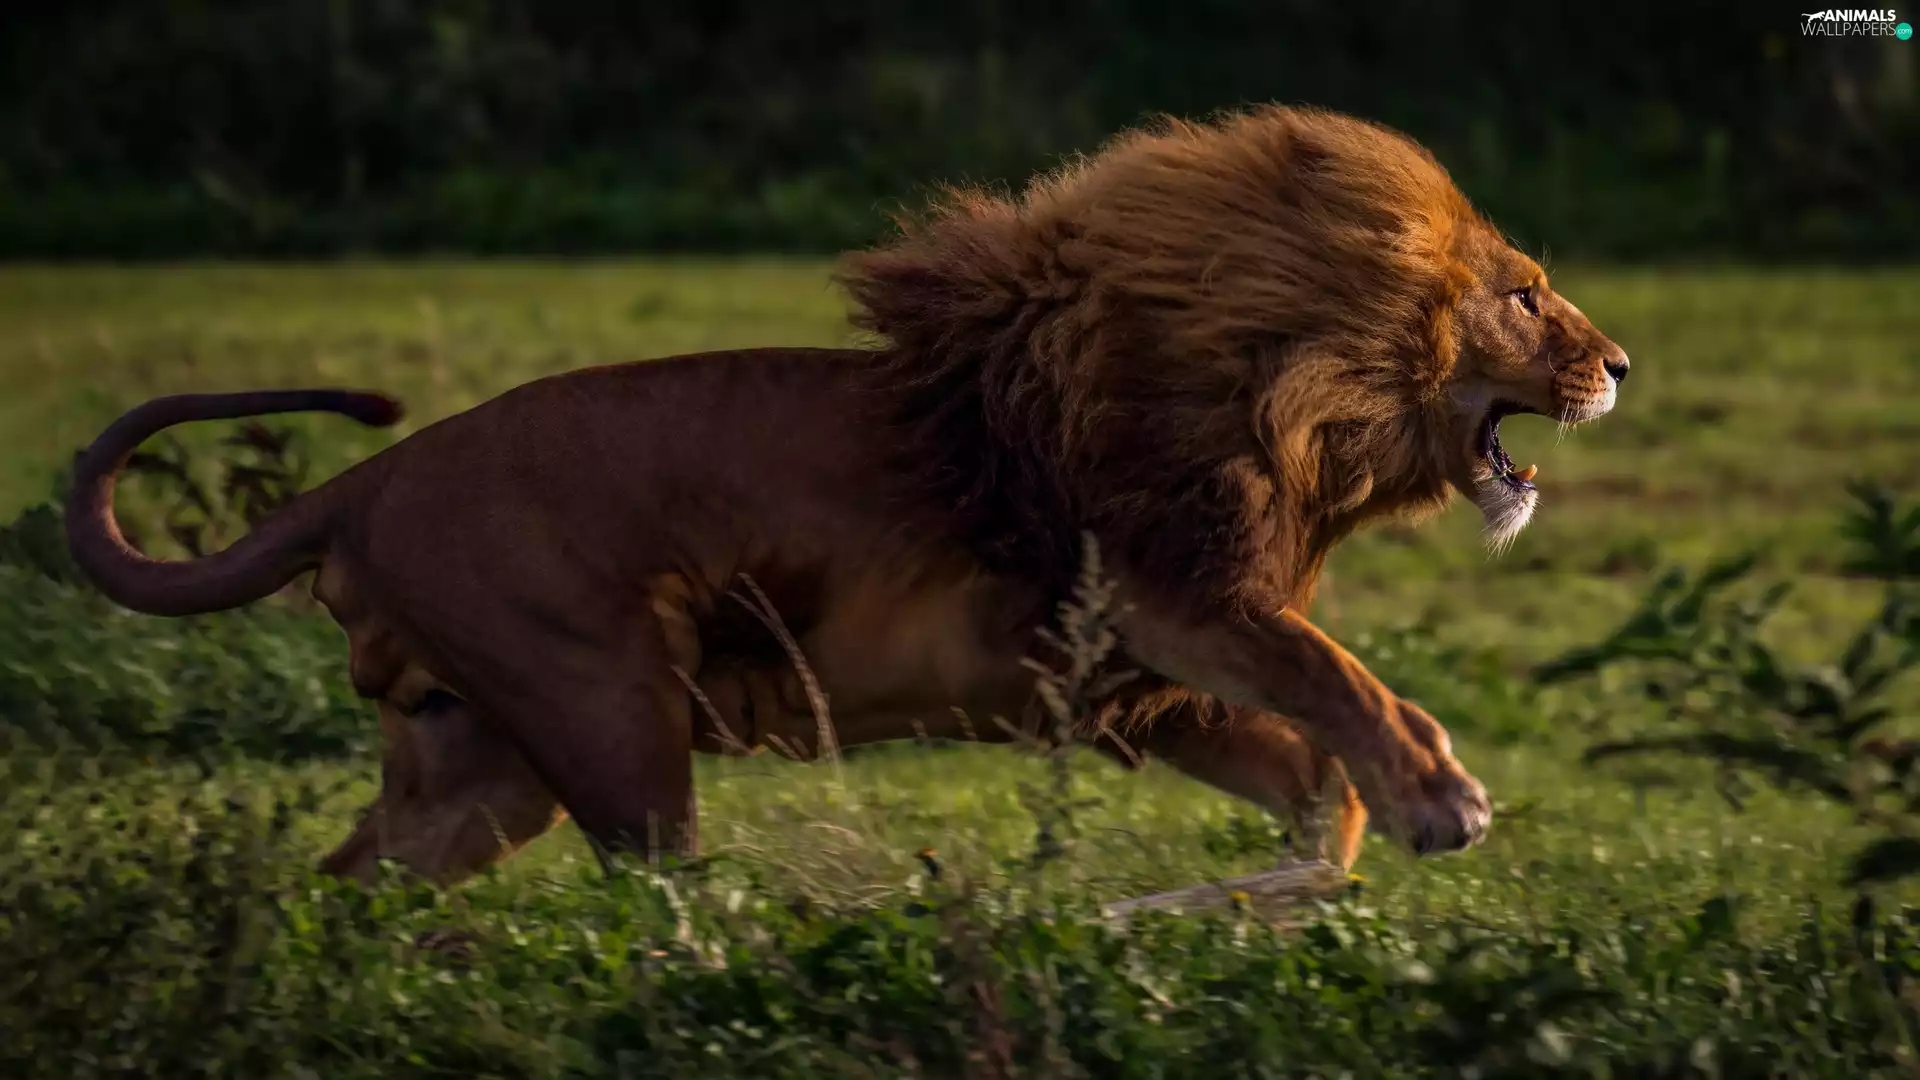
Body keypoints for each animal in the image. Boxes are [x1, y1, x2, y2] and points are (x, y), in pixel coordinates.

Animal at [64, 105, 1629, 886]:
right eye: (1528, 295)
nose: (1617, 363)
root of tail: (364, 477)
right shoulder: (1173, 597)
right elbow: (1350, 682)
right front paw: (1444, 804)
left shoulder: (1134, 680)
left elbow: (1313, 783)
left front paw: (1243, 904)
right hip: (606, 708)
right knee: (661, 894)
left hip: (480, 758)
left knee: (353, 885)